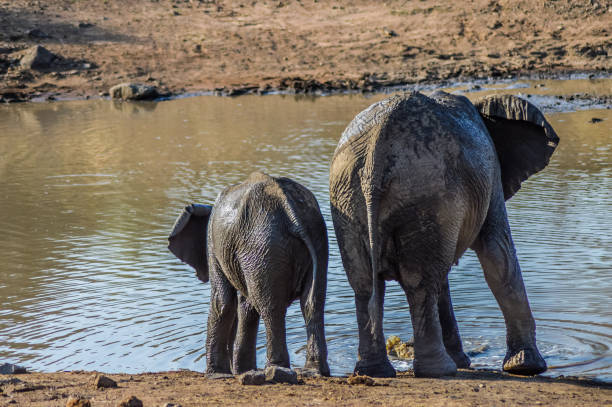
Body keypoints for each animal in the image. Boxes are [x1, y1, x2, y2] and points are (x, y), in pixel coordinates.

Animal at [167, 171, 330, 376]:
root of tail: (291, 212)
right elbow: (246, 305)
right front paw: (243, 370)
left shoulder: (213, 244)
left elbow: (223, 301)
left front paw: (217, 374)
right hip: (314, 240)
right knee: (312, 303)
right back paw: (313, 370)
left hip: (264, 246)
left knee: (271, 308)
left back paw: (276, 369)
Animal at [330, 91, 560, 380]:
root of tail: (375, 153)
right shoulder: (491, 176)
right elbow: (498, 254)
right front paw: (527, 367)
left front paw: (468, 361)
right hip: (429, 193)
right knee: (421, 283)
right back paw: (440, 370)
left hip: (348, 197)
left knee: (366, 283)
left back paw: (376, 372)